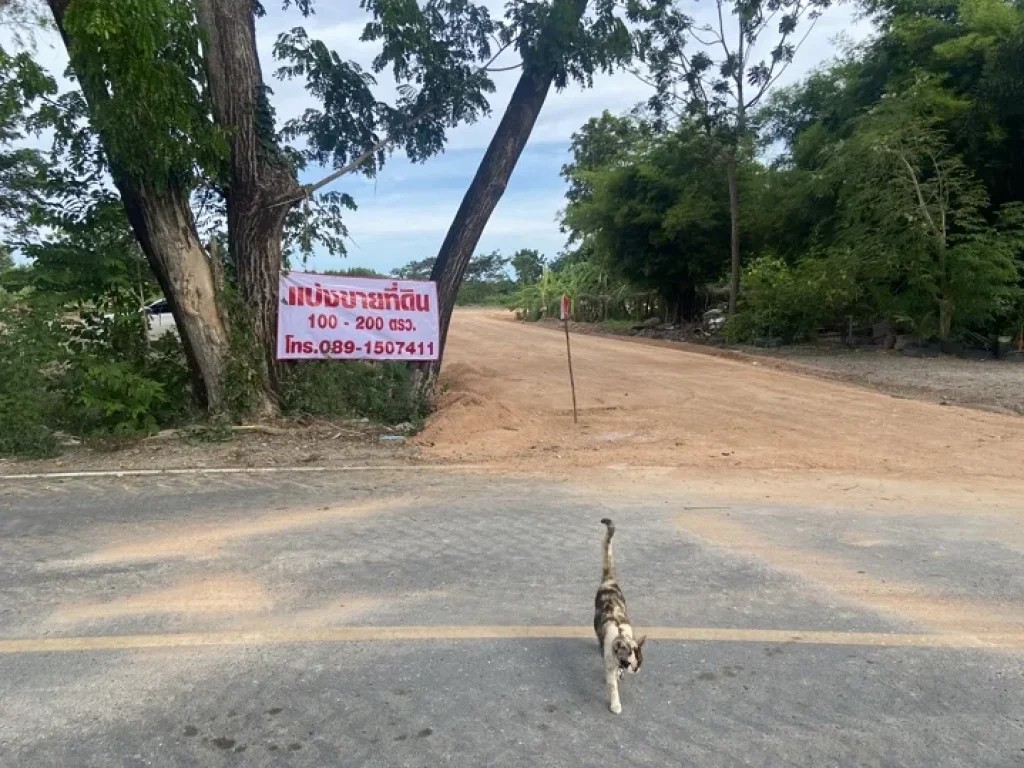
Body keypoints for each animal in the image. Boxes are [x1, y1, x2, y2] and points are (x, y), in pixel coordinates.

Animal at [593, 518, 647, 716]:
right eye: (628, 662)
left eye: (640, 661)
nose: (636, 670)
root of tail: (609, 580)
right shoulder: (609, 664)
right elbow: (613, 687)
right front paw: (616, 703)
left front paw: (619, 675)